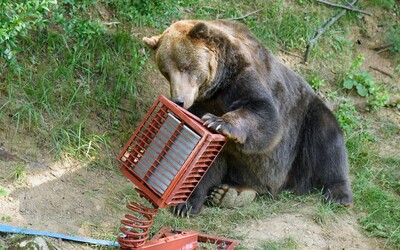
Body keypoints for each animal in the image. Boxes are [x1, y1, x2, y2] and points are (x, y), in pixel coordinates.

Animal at [142, 19, 352, 216]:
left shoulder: (243, 76)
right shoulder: (200, 106)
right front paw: (184, 204)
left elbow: (263, 113)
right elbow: (202, 158)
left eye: (184, 66)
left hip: (305, 125)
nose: (179, 100)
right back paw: (228, 194)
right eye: (165, 71)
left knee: (327, 141)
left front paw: (219, 122)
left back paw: (339, 194)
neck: (217, 88)